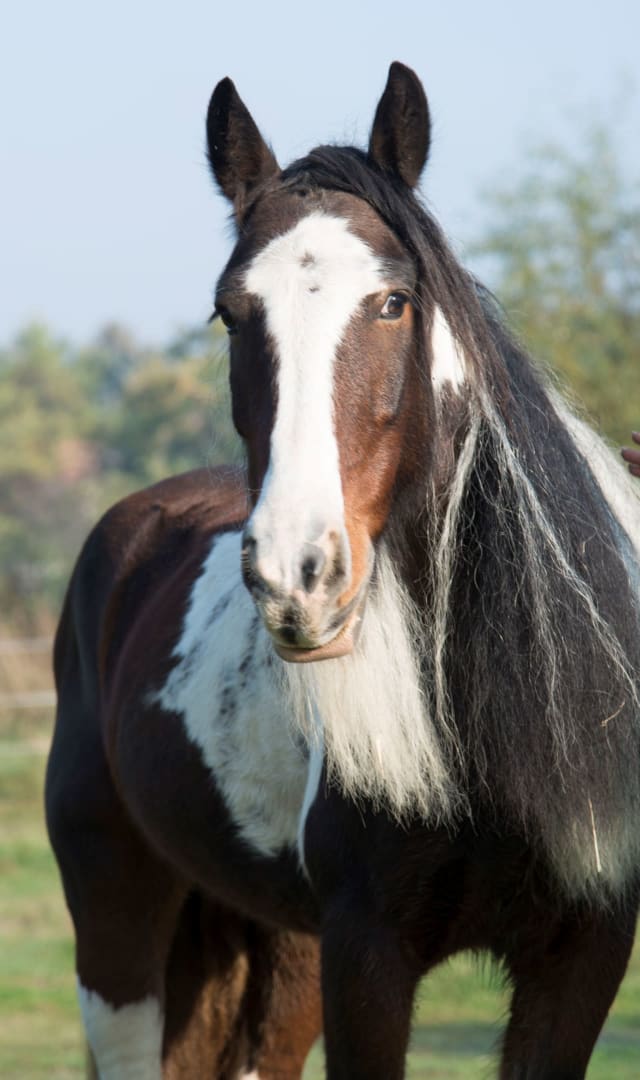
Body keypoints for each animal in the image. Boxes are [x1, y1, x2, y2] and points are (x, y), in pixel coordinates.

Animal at [46, 61, 640, 1078]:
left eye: (394, 302)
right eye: (230, 311)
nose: (299, 575)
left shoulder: (580, 958)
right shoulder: (367, 953)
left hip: (278, 951)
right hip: (117, 922)